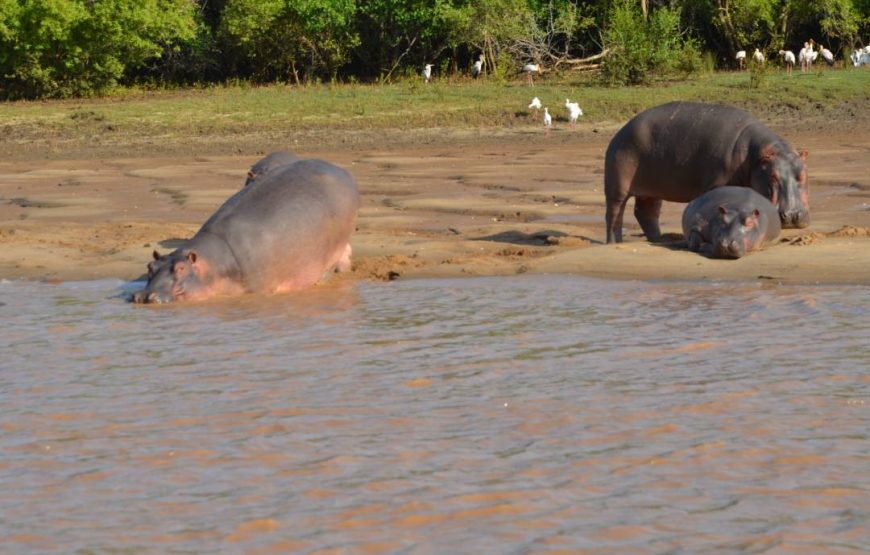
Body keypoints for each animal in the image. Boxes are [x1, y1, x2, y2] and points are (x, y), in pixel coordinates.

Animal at [608, 101, 812, 243]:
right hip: (618, 185)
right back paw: (614, 243)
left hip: (653, 189)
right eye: (773, 177)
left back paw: (659, 239)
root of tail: (622, 129)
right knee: (614, 213)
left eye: (803, 175)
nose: (793, 215)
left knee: (646, 212)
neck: (754, 155)